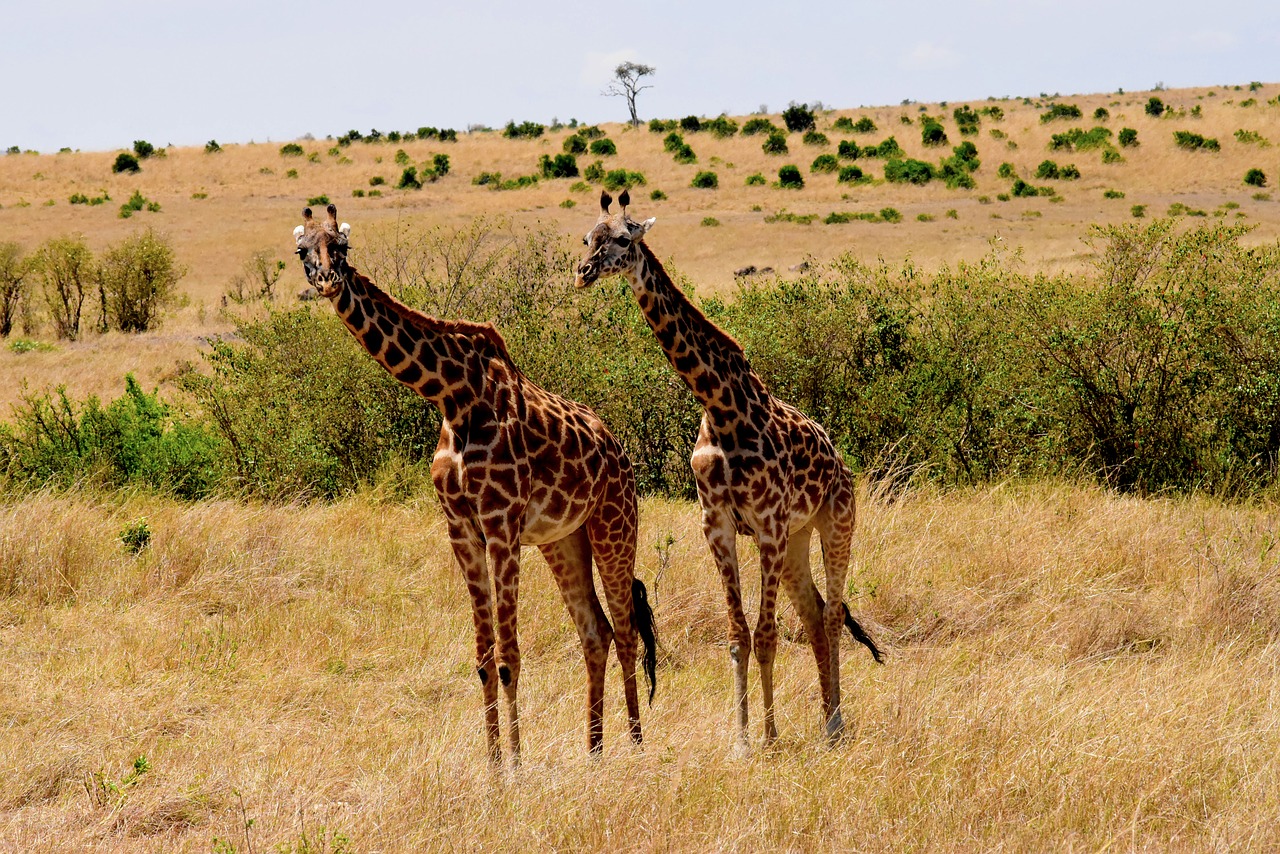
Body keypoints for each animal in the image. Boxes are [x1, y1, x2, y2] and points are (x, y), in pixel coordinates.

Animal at [293, 203, 655, 763]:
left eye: (343, 246)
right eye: (302, 250)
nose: (328, 280)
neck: (452, 396)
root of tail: (619, 451)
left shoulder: (501, 524)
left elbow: (508, 657)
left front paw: (517, 766)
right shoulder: (461, 528)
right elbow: (484, 659)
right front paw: (492, 766)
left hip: (614, 523)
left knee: (625, 629)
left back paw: (634, 748)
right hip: (562, 539)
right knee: (595, 633)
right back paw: (593, 752)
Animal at [578, 190, 880, 752]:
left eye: (625, 239)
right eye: (589, 237)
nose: (584, 271)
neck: (719, 406)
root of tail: (839, 460)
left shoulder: (768, 524)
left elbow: (765, 635)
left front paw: (770, 736)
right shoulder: (717, 524)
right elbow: (739, 635)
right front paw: (741, 739)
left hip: (835, 522)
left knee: (830, 615)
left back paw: (835, 725)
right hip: (798, 540)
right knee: (812, 614)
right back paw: (827, 721)